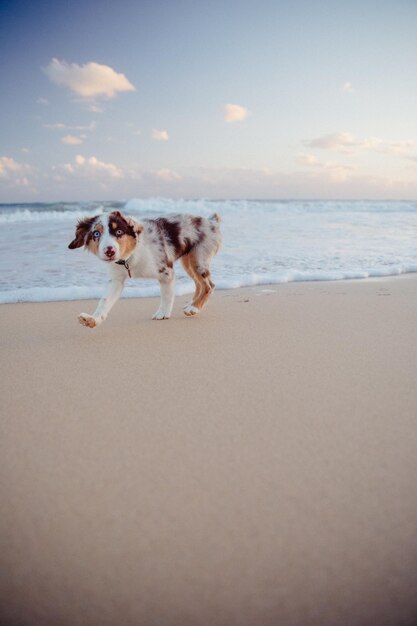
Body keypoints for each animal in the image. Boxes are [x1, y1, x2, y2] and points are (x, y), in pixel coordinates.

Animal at [67, 210, 221, 326]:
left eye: (119, 232)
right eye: (96, 234)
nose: (109, 251)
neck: (130, 257)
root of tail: (212, 221)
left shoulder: (166, 271)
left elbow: (166, 295)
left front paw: (163, 313)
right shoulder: (116, 280)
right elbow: (105, 300)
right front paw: (93, 319)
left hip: (198, 259)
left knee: (208, 285)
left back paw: (194, 308)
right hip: (188, 261)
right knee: (198, 283)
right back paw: (192, 304)